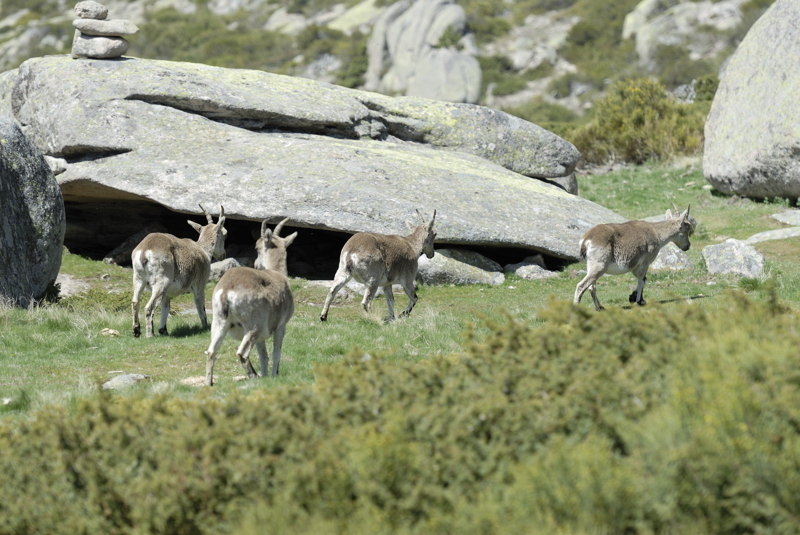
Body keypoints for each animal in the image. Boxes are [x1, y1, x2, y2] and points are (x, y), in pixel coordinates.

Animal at [130, 203, 227, 338]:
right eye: (225, 234)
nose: (223, 255)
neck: (202, 250)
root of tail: (144, 250)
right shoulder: (199, 286)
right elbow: (200, 306)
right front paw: (205, 327)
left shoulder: (167, 293)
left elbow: (166, 307)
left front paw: (163, 330)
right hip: (161, 282)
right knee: (149, 307)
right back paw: (150, 335)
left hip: (139, 279)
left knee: (135, 302)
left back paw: (136, 331)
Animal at [205, 218, 296, 386]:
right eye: (257, 247)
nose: (256, 264)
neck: (277, 275)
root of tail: (227, 289)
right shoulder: (281, 327)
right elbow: (276, 353)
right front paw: (273, 375)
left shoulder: (261, 338)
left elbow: (263, 356)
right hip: (253, 328)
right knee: (242, 353)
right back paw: (254, 376)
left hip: (219, 323)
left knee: (211, 352)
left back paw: (209, 383)